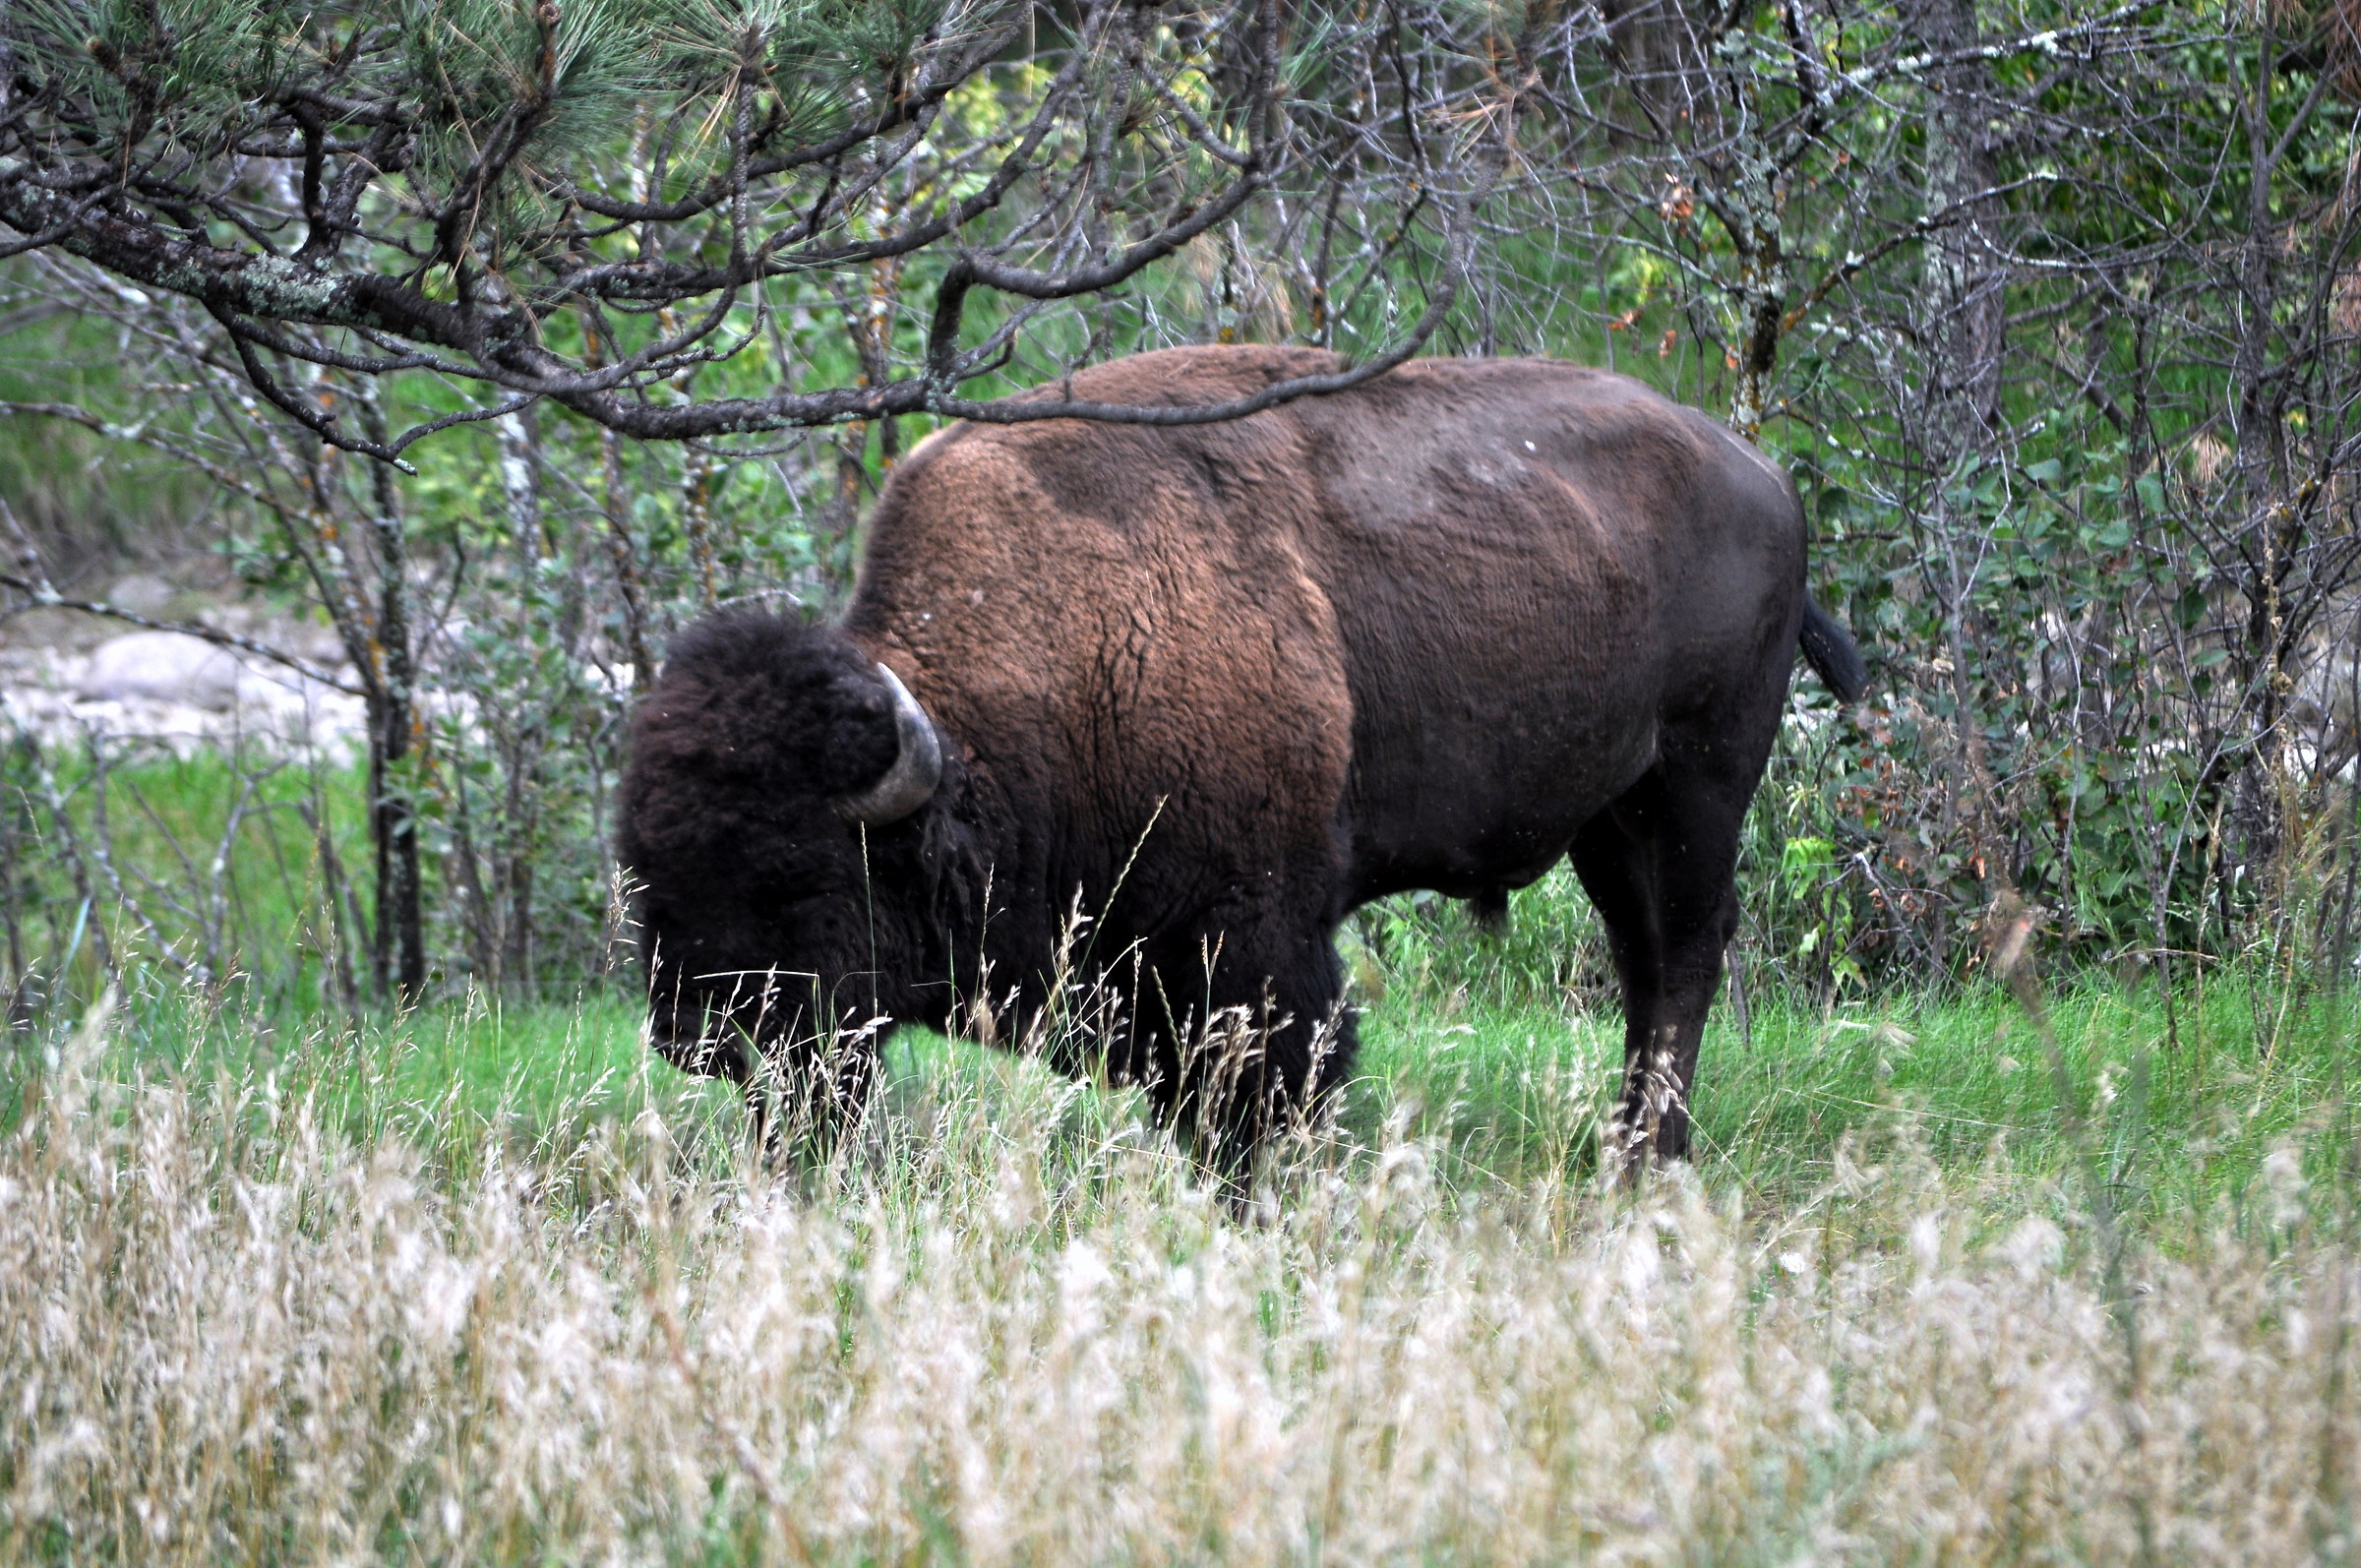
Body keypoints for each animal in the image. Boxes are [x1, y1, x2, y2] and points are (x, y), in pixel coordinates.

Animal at [617, 345, 1865, 1173]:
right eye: (647, 874)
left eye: (799, 877)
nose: (693, 1034)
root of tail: (1764, 477)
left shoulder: (1253, 940)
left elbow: (1270, 1086)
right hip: (1610, 815)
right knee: (1644, 960)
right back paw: (1621, 1146)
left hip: (1698, 781)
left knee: (1684, 958)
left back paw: (1651, 1158)